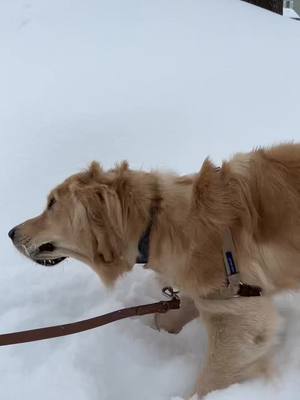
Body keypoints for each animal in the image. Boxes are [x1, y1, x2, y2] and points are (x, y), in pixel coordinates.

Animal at [8, 143, 300, 396]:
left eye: (51, 204)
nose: (11, 233)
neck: (155, 223)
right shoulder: (215, 292)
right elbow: (175, 311)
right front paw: (154, 324)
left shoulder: (238, 313)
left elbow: (211, 379)